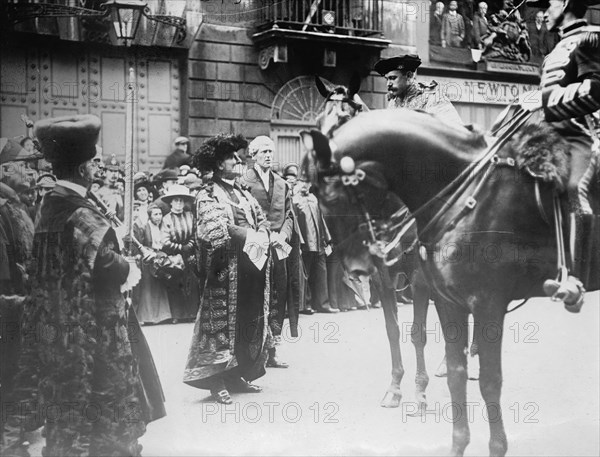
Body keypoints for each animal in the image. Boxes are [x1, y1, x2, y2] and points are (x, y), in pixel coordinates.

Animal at [300, 108, 596, 456]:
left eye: (331, 196)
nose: (357, 269)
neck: (461, 197)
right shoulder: (431, 293)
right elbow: (425, 352)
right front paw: (399, 390)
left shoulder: (473, 298)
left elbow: (481, 376)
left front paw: (422, 394)